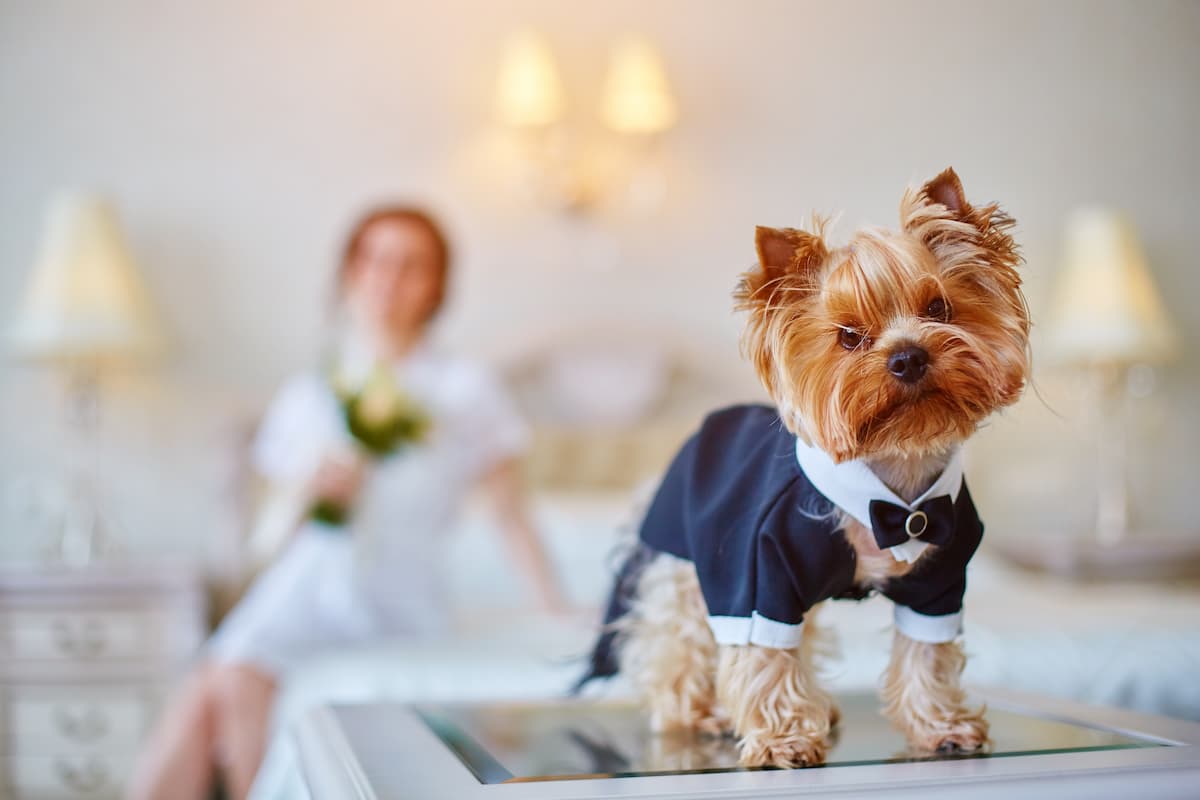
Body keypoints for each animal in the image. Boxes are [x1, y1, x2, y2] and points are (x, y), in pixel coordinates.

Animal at [578, 169, 1032, 767]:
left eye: (938, 308)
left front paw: (942, 727)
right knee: (678, 643)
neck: (890, 481)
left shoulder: (940, 581)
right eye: (848, 336)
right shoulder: (759, 576)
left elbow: (925, 655)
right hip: (690, 568)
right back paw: (701, 714)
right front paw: (783, 739)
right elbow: (765, 658)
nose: (908, 356)